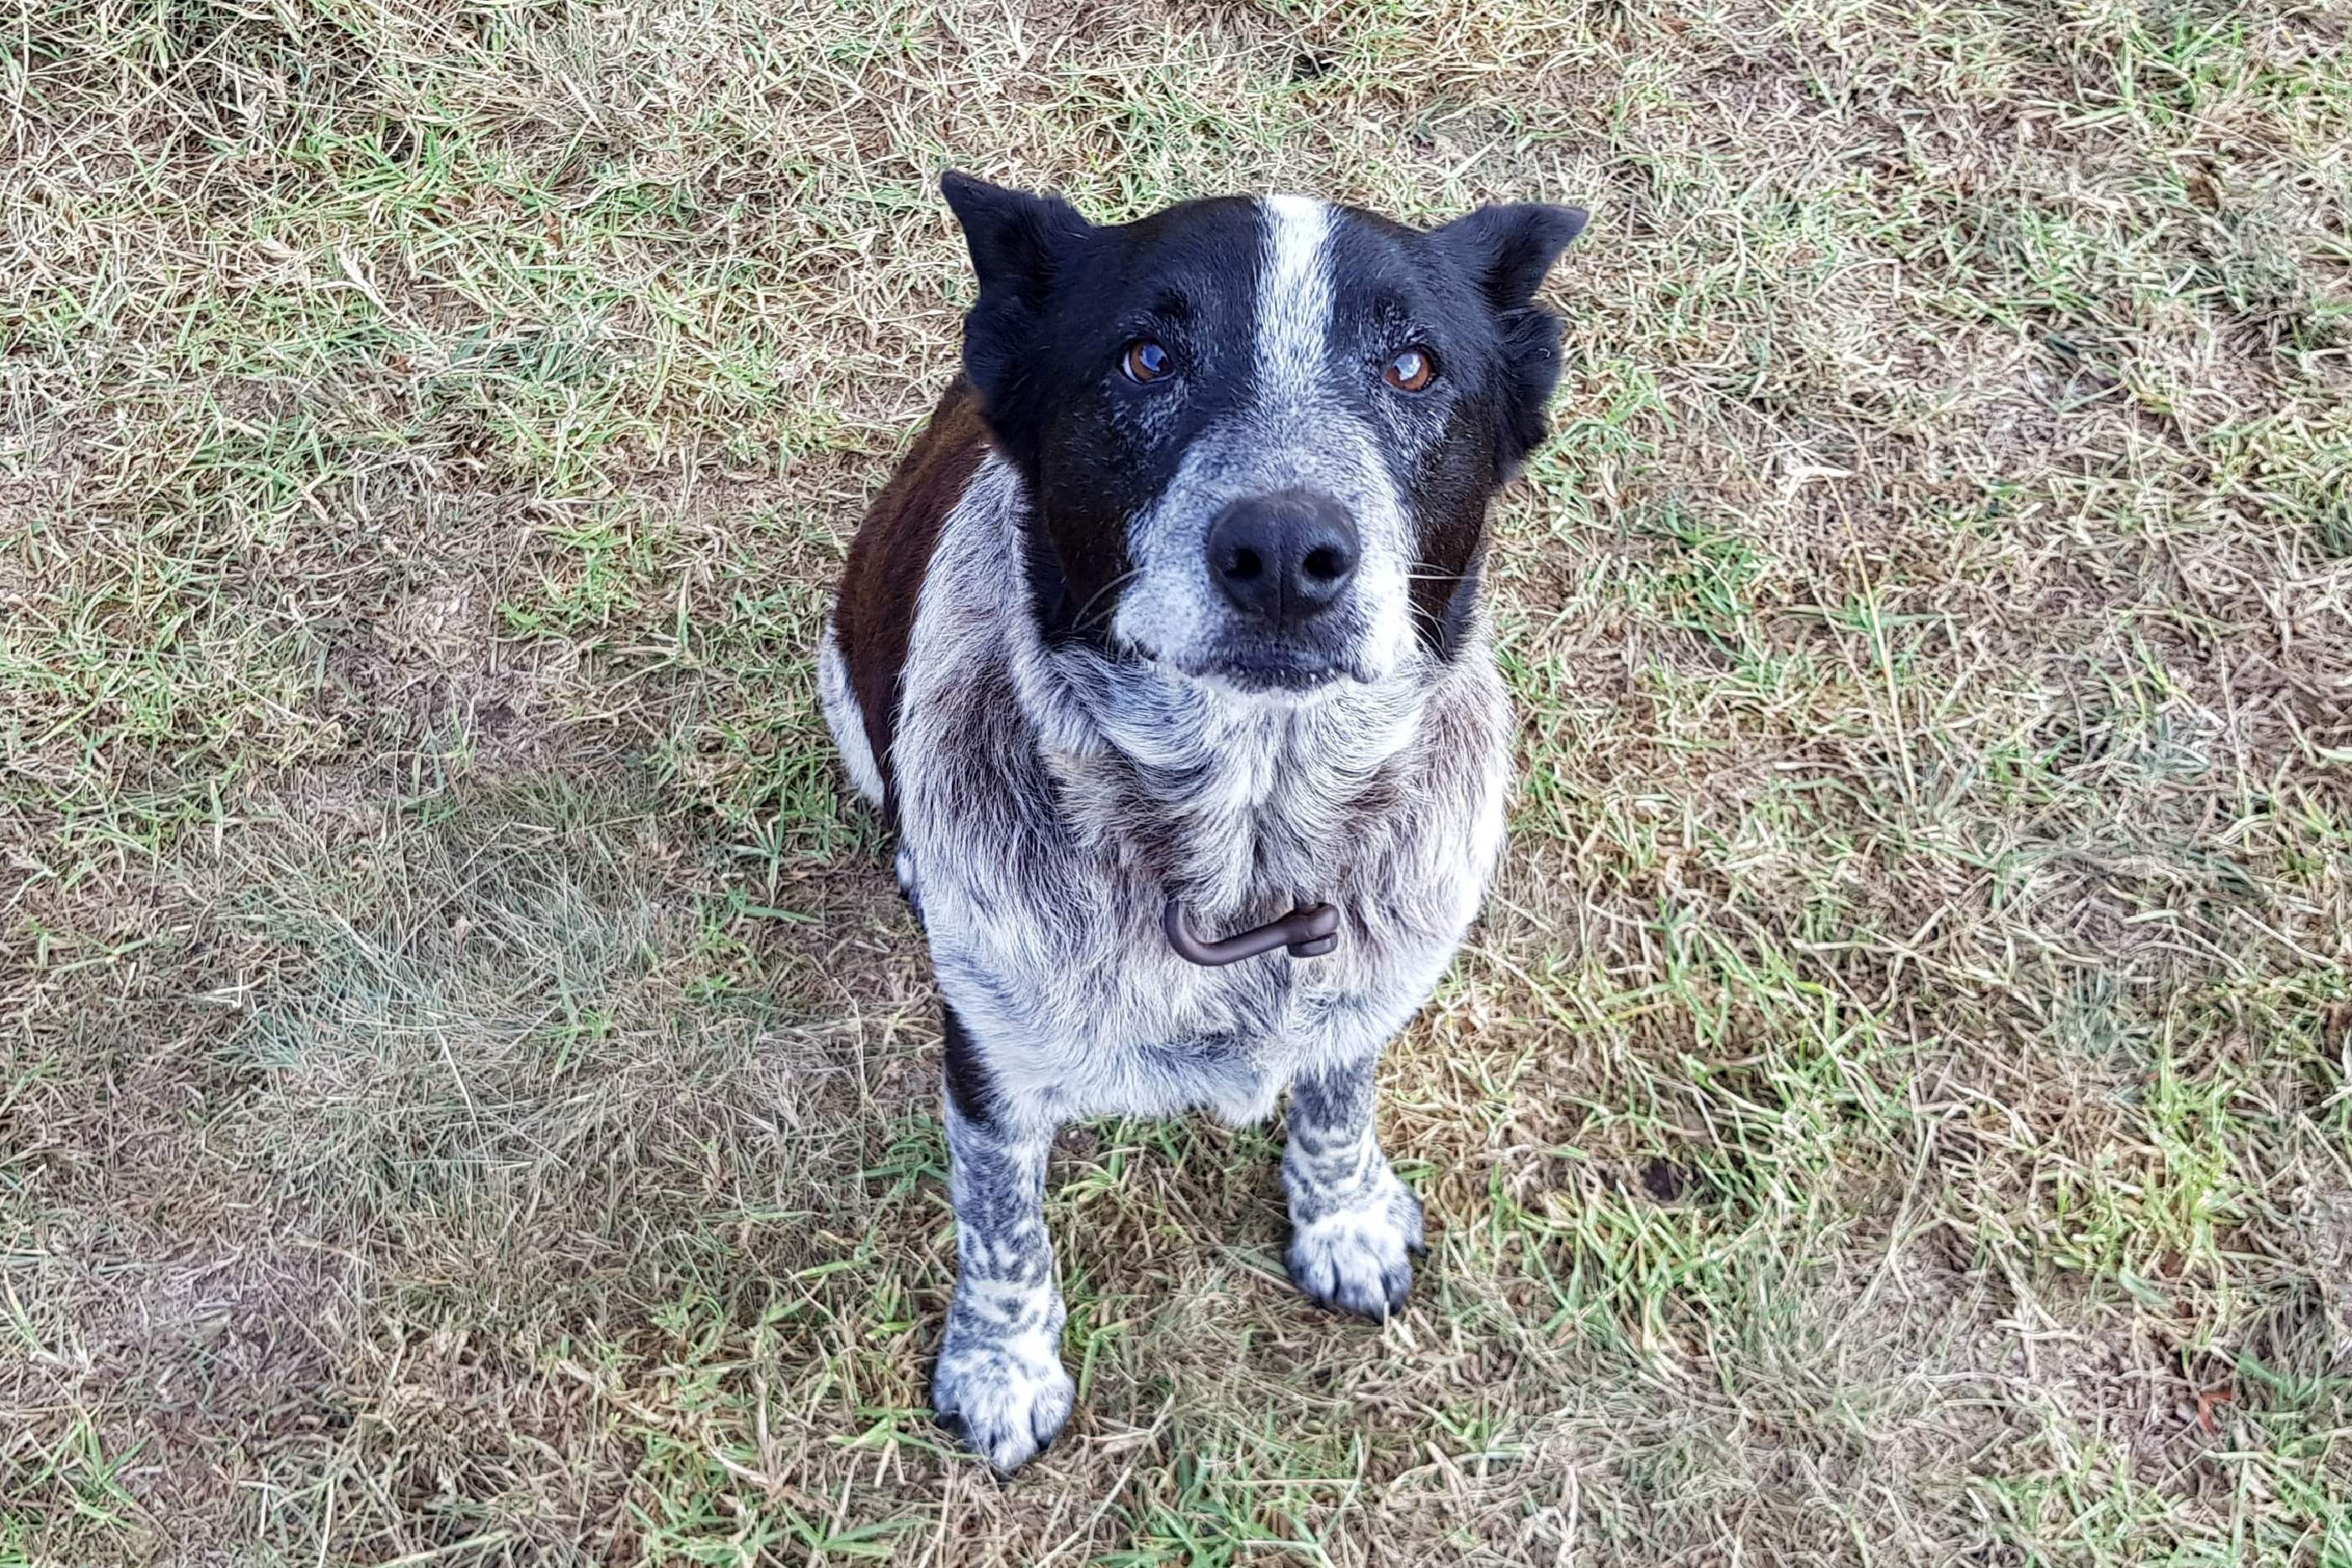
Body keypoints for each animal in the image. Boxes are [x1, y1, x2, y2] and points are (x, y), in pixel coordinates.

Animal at [818, 171, 1589, 1476]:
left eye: (1414, 367)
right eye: (1148, 356)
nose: (1283, 549)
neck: (1246, 848)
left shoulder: (1364, 987)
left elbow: (1336, 1102)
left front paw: (1344, 1219)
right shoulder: (991, 1058)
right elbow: (1001, 1225)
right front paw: (1004, 1366)